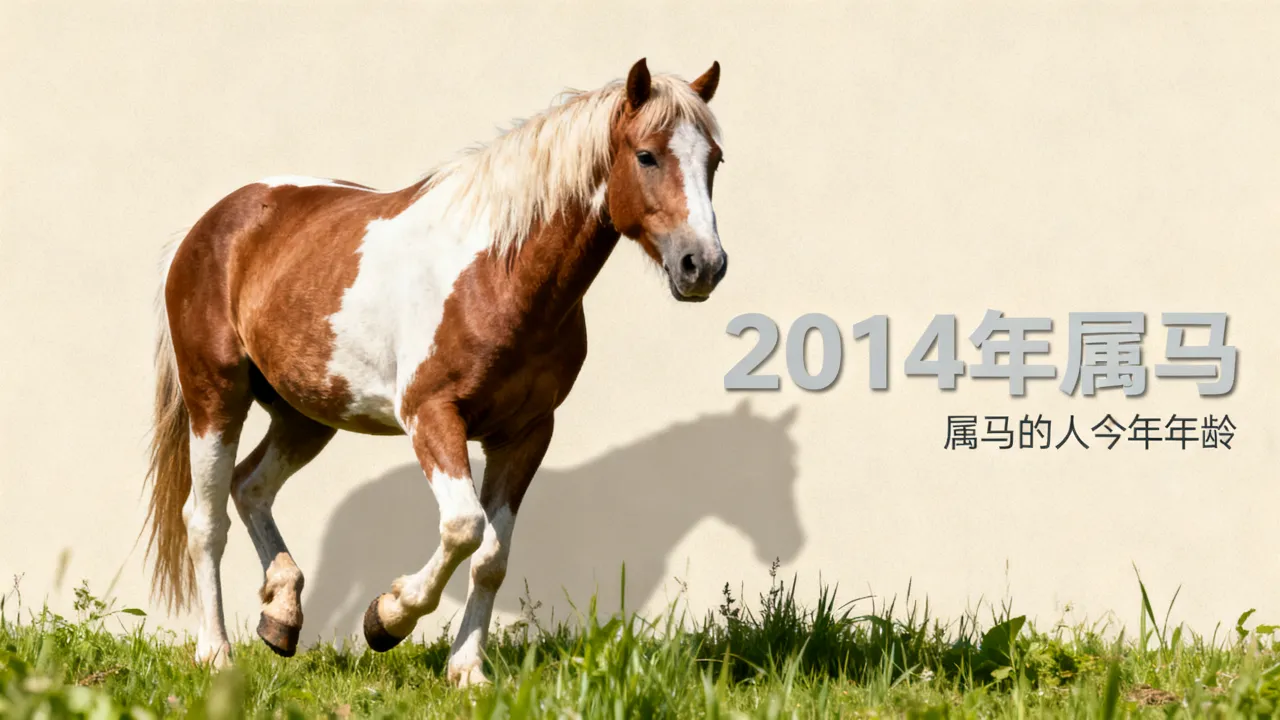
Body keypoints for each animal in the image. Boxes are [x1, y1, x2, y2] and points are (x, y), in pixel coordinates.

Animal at [143, 58, 727, 687]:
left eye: (715, 159)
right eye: (646, 155)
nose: (703, 265)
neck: (498, 274)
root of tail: (209, 224)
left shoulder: (526, 433)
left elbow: (492, 556)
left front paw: (466, 672)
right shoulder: (432, 416)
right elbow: (463, 527)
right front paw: (387, 618)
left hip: (307, 414)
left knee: (250, 486)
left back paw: (281, 614)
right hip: (215, 397)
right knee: (205, 520)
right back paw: (216, 654)